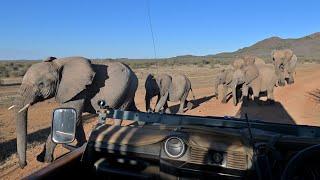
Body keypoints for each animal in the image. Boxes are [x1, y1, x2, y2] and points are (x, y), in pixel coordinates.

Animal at [10, 56, 138, 169]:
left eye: (41, 84)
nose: (24, 164)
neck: (58, 64)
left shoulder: (79, 91)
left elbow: (71, 118)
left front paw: (46, 160)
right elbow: (75, 118)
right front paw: (79, 147)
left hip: (129, 88)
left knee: (120, 113)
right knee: (133, 110)